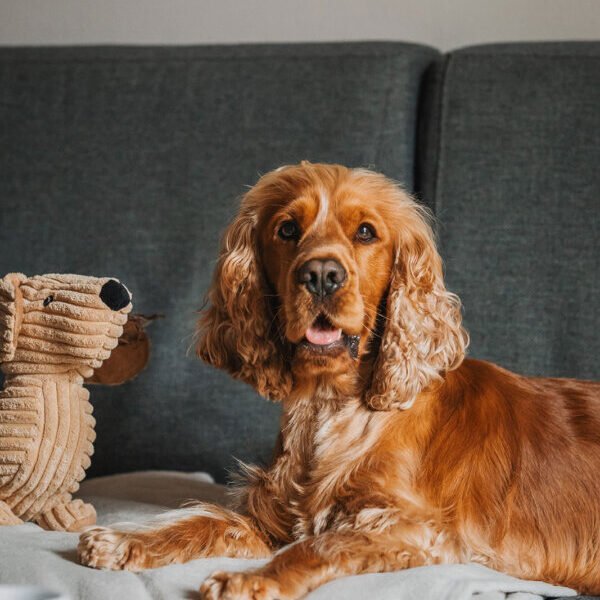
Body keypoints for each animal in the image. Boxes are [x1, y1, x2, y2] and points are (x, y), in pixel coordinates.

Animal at [77, 162, 596, 596]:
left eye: (366, 232)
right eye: (287, 229)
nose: (322, 274)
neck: (328, 405)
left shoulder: (420, 529)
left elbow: (319, 545)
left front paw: (250, 580)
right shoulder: (272, 517)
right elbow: (205, 518)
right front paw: (127, 540)